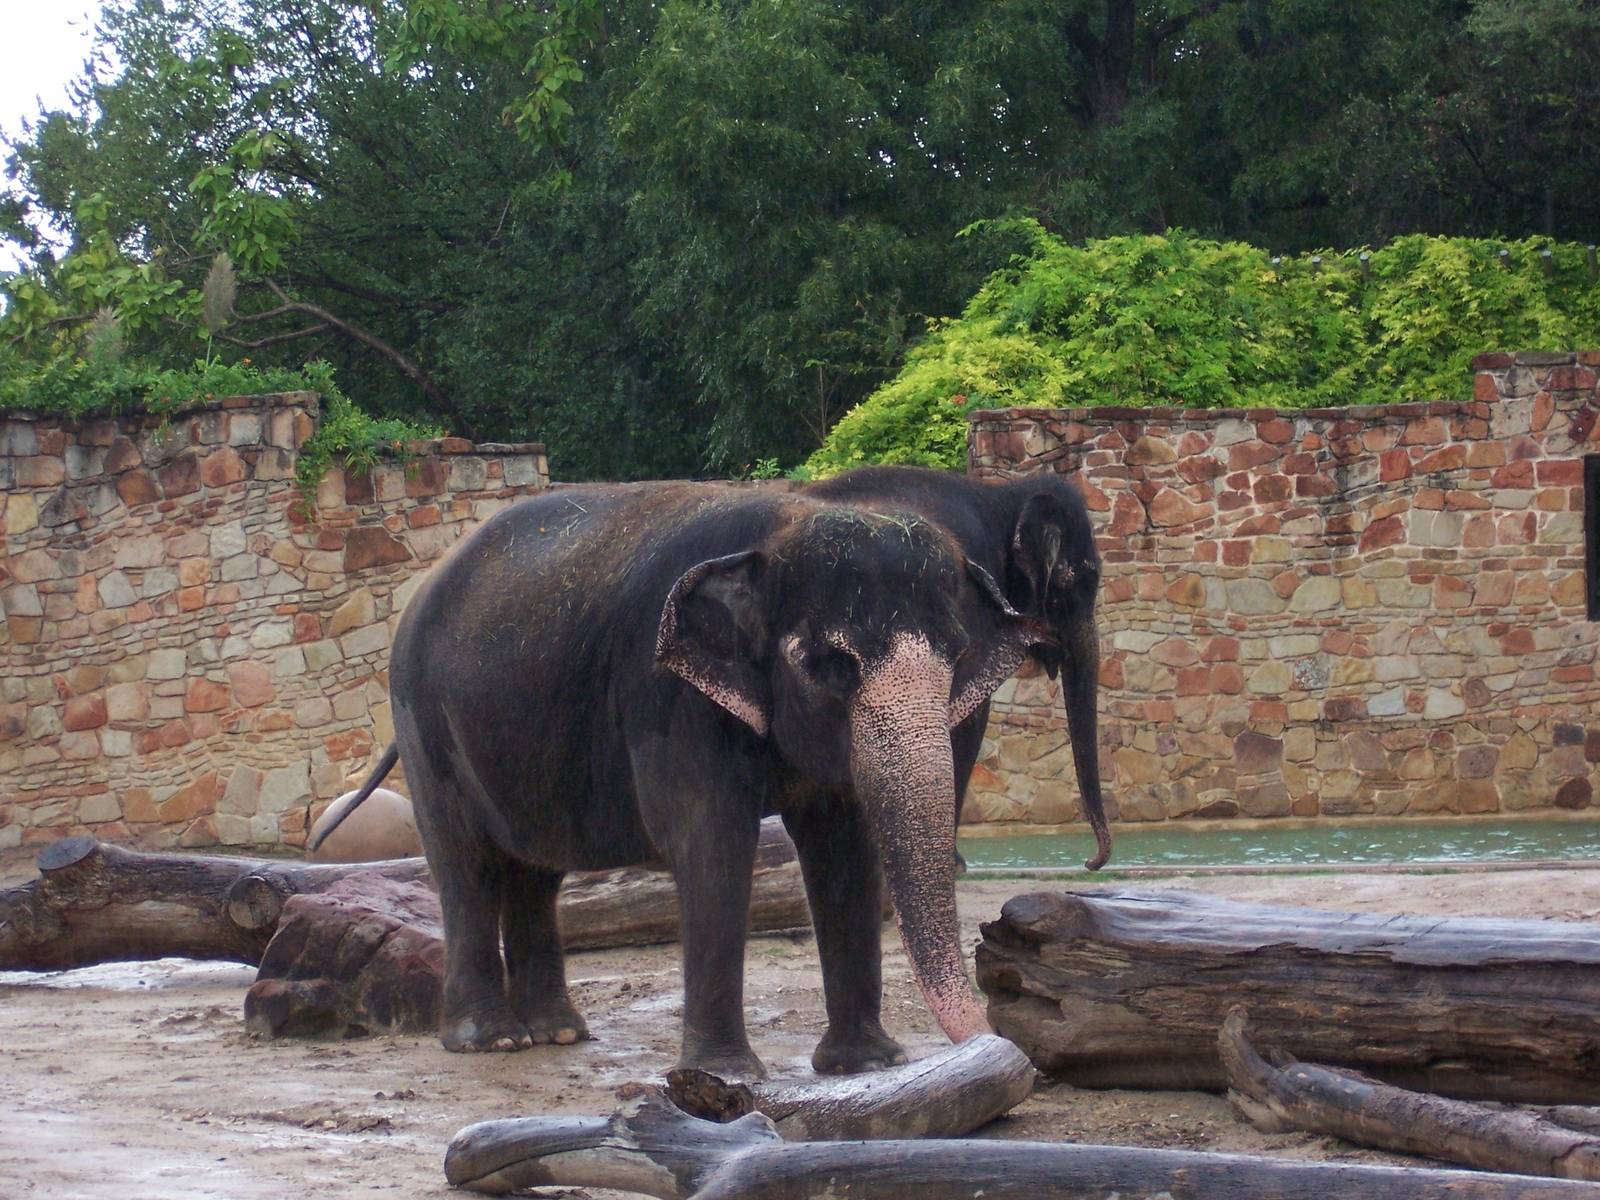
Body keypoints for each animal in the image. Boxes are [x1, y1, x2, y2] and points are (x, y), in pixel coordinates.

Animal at [325, 482, 1060, 1079]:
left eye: (957, 658)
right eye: (831, 665)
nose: (999, 1038)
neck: (781, 526)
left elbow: (844, 851)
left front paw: (867, 1066)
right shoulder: (666, 692)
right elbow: (712, 844)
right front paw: (726, 1076)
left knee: (536, 870)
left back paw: (557, 1034)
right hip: (422, 715)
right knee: (466, 862)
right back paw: (491, 1041)